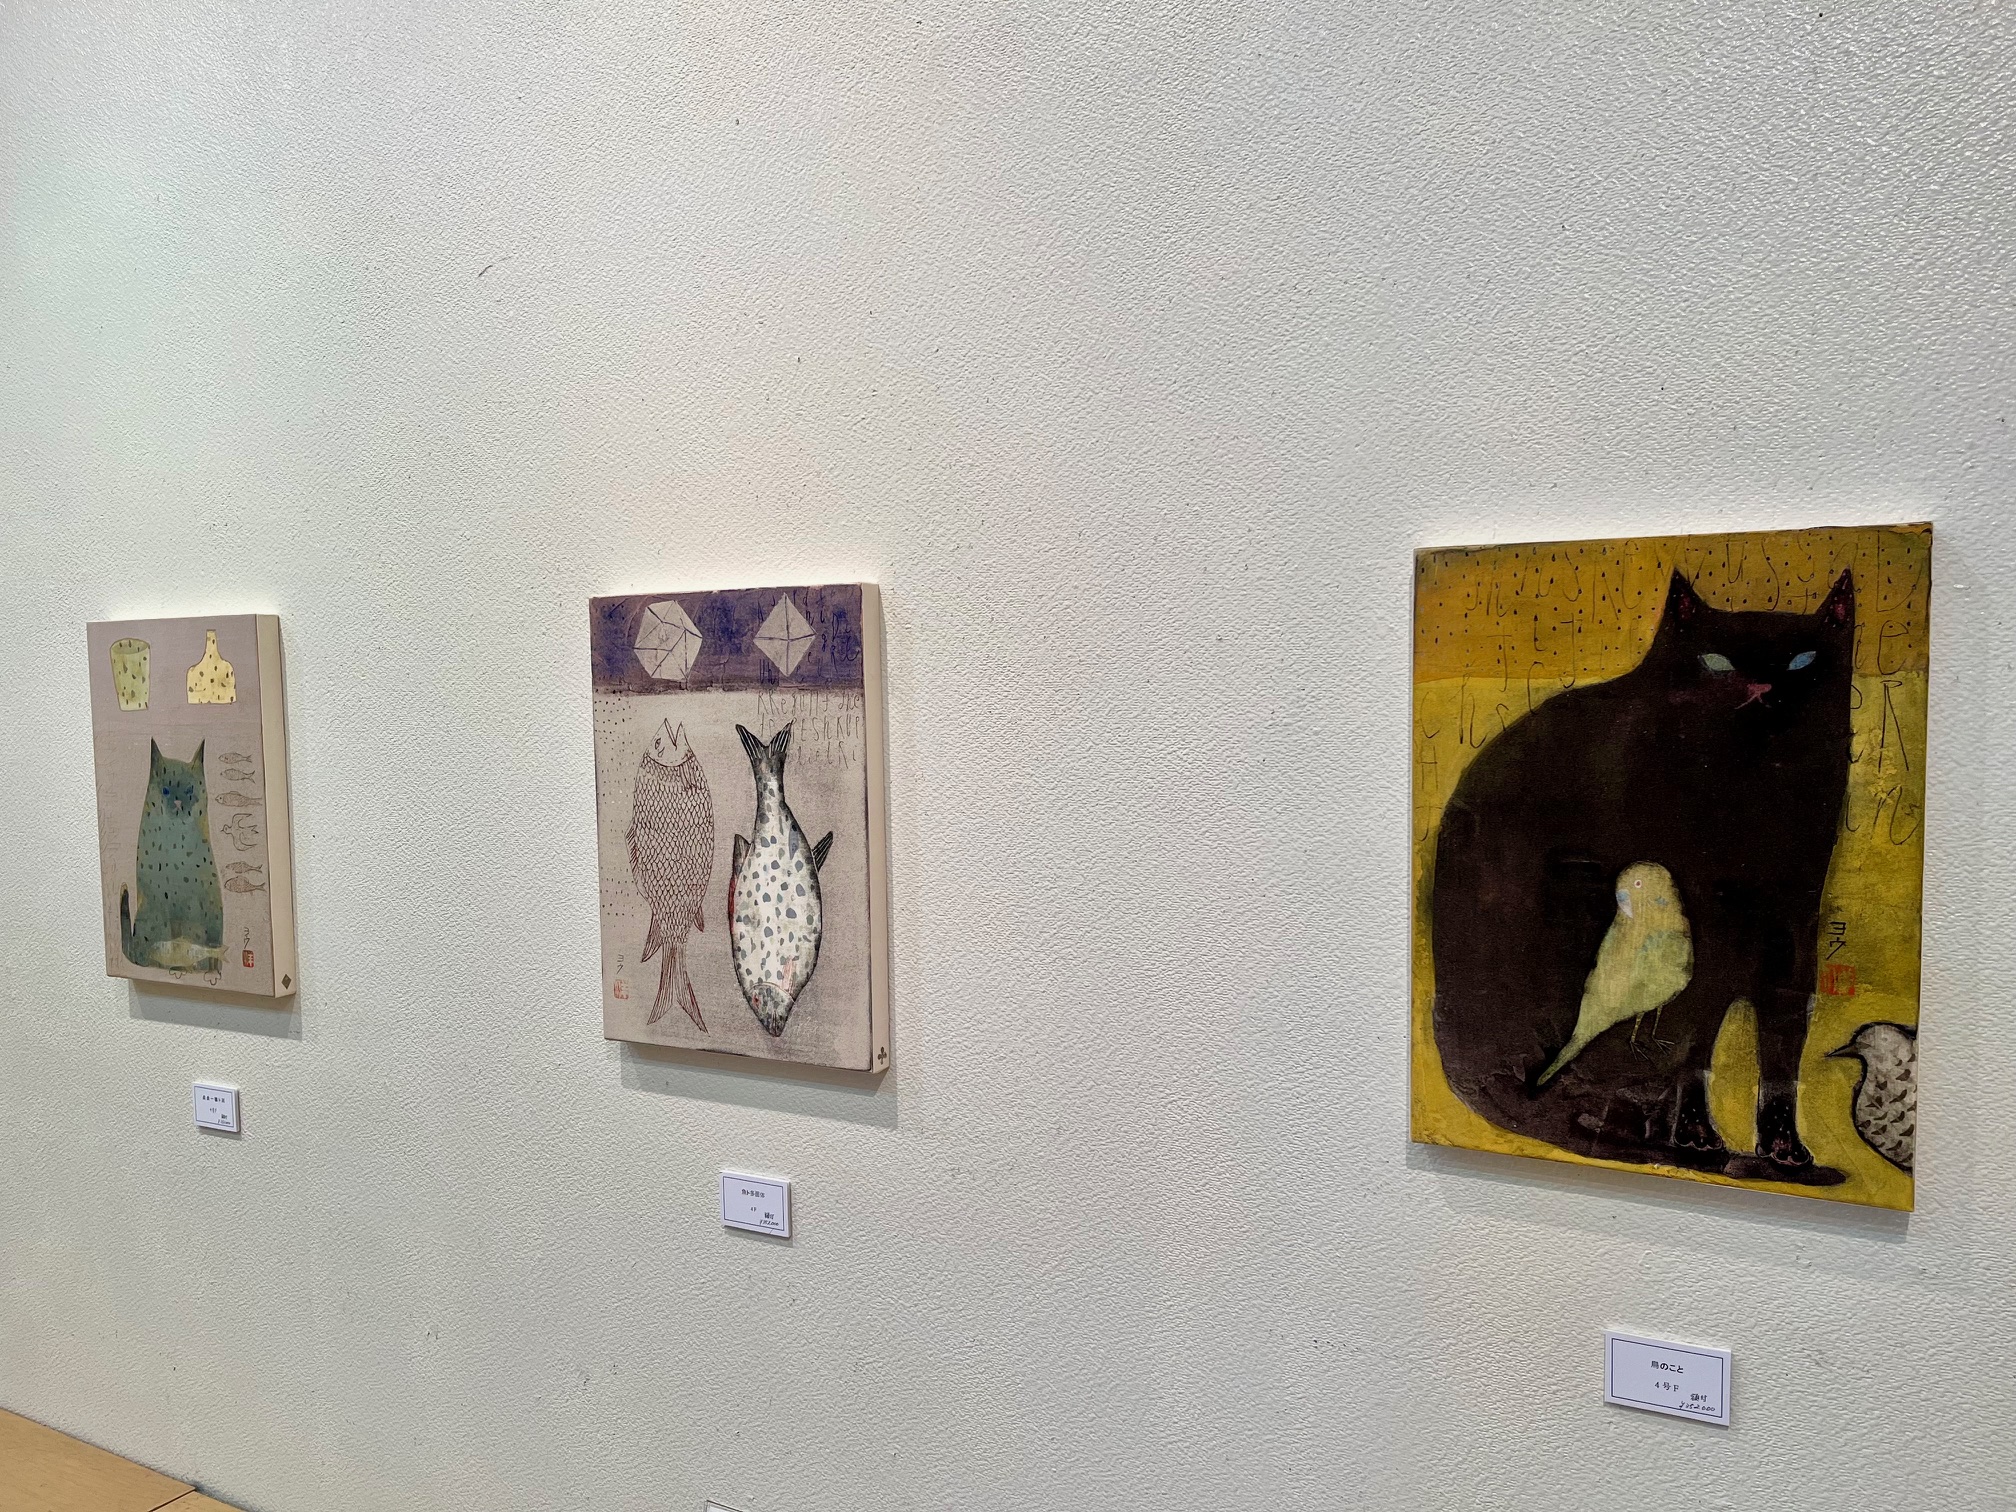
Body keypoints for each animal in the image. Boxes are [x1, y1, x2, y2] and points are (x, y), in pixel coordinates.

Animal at [120, 740, 225, 974]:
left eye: (189, 790)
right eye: (166, 790)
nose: (178, 803)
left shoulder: (194, 906)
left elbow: (193, 938)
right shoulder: (158, 907)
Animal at [1430, 569, 1855, 1183]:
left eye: (1802, 661)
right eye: (1716, 662)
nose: (1759, 690)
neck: (1751, 798)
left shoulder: (1794, 919)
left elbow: (1783, 1035)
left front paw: (1784, 1147)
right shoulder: (1702, 933)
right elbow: (1695, 1043)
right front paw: (1699, 1134)